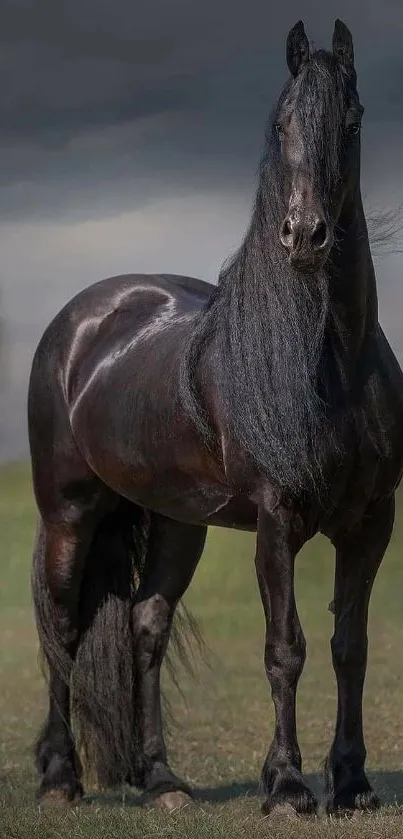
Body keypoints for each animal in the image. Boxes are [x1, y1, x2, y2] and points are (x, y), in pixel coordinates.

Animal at [28, 19, 403, 816]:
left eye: (352, 123)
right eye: (280, 124)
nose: (303, 235)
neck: (333, 360)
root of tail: (80, 322)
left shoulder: (371, 520)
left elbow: (349, 646)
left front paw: (351, 781)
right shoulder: (276, 518)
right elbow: (284, 647)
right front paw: (287, 785)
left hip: (176, 522)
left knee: (145, 624)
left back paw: (161, 779)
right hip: (69, 512)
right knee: (63, 629)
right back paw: (60, 779)